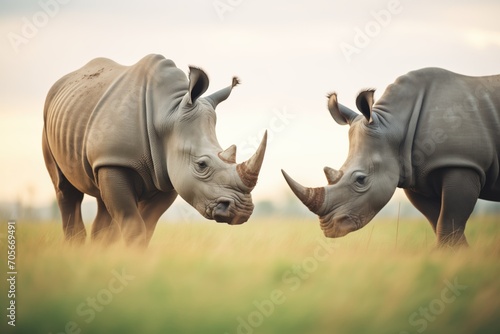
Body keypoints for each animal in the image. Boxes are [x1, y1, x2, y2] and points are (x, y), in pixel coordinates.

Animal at [43, 54, 268, 247]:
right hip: (50, 123)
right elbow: (133, 223)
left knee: (101, 198)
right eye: (202, 164)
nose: (242, 212)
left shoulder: (167, 175)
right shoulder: (115, 161)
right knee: (65, 190)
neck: (168, 112)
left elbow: (147, 224)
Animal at [284, 68, 498, 247]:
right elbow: (439, 224)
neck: (394, 125)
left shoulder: (463, 164)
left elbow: (447, 225)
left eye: (361, 179)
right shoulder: (416, 176)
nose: (329, 228)